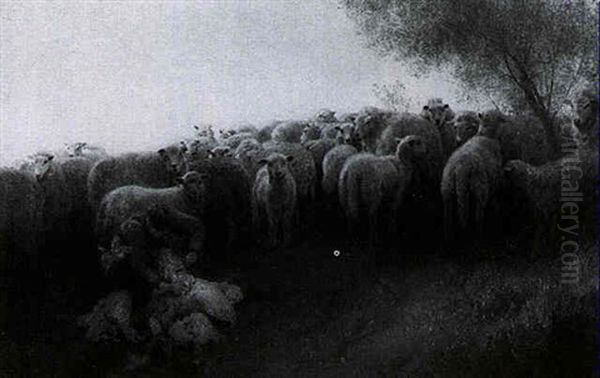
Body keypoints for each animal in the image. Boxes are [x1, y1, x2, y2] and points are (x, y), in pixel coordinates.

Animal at [440, 110, 506, 244]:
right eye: (455, 127)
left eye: (468, 127)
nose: (458, 141)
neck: (486, 135)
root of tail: (461, 168)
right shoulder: (495, 183)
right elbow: (496, 203)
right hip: (480, 189)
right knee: (478, 218)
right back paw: (480, 241)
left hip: (447, 190)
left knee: (447, 219)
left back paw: (448, 241)